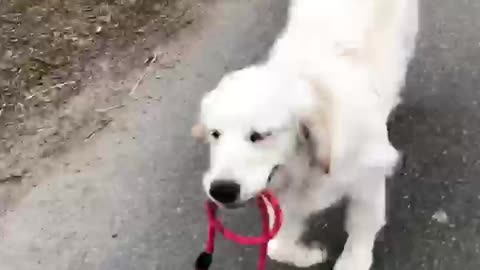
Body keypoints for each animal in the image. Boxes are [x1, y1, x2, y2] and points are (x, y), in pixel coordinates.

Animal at [193, 0, 418, 268]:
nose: (221, 190)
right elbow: (276, 247)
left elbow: (361, 226)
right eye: (215, 134)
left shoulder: (367, 178)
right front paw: (309, 255)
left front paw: (353, 260)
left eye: (260, 135)